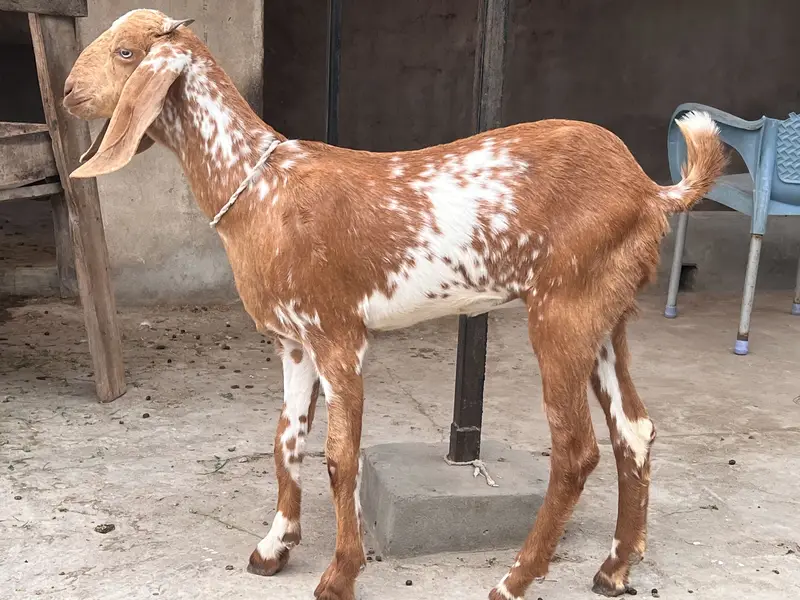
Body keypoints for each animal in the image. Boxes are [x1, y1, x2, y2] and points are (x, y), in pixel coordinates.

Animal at [63, 10, 726, 600]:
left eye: (126, 52)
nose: (69, 92)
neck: (262, 189)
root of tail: (651, 192)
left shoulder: (338, 335)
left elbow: (340, 458)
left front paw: (339, 575)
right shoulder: (294, 341)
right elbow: (284, 441)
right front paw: (275, 546)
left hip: (564, 309)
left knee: (575, 451)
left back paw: (513, 581)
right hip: (607, 315)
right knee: (634, 430)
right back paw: (614, 569)